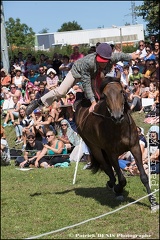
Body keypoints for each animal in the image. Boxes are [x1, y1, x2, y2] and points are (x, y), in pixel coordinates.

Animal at [74, 77, 158, 210]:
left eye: (121, 91)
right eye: (105, 95)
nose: (117, 116)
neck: (119, 128)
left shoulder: (135, 147)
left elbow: (144, 176)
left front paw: (153, 202)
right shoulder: (112, 153)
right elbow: (122, 179)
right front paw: (118, 189)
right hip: (94, 147)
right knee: (106, 166)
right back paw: (112, 184)